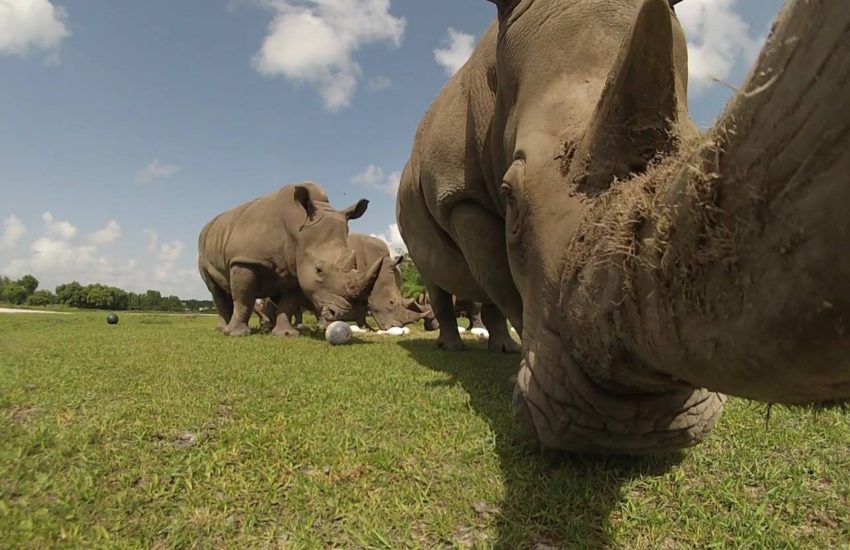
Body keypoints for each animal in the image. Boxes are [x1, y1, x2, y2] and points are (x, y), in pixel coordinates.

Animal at [198, 182, 383, 337]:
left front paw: (286, 334)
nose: (346, 314)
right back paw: (223, 329)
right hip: (203, 246)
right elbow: (244, 298)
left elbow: (288, 303)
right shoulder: (244, 260)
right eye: (319, 270)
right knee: (215, 290)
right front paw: (236, 334)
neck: (297, 227)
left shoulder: (297, 267)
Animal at [397, 0, 850, 454]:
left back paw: (502, 349)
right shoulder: (459, 196)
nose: (630, 429)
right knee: (437, 275)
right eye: (510, 195)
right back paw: (454, 349)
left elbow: (499, 282)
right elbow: (504, 281)